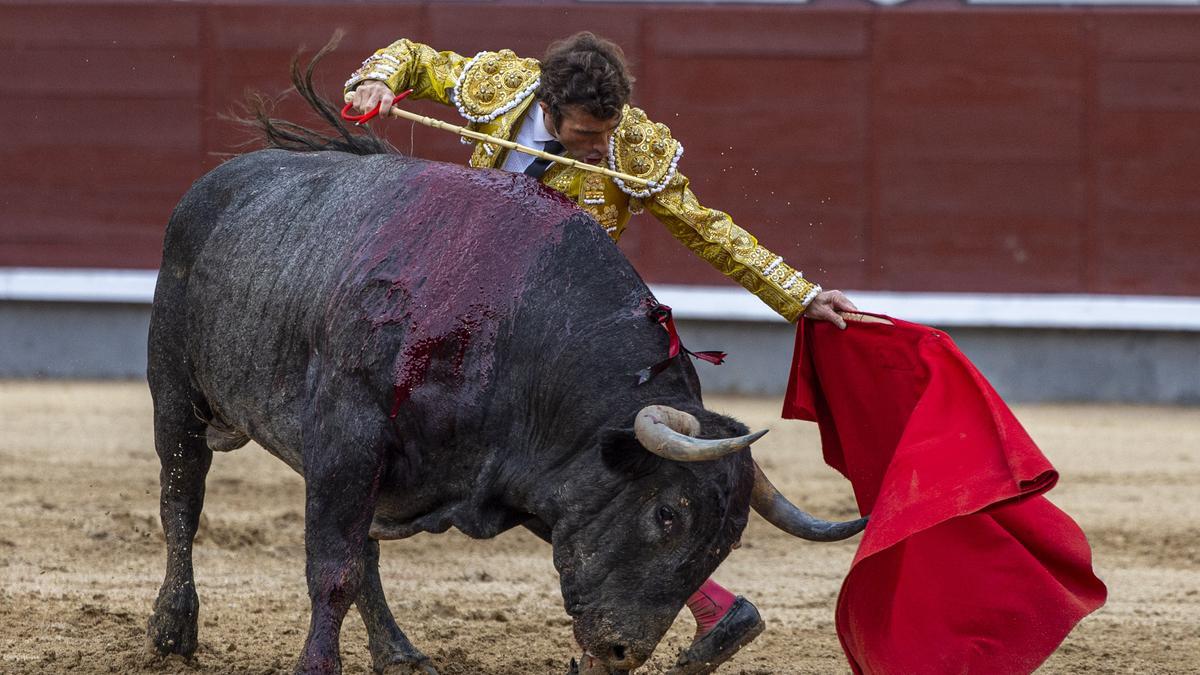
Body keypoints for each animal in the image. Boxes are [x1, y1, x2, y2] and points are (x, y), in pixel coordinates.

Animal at [147, 53, 864, 672]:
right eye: (668, 514)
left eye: (729, 540)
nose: (622, 651)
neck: (512, 324)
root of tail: (218, 183)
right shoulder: (347, 437)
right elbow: (333, 570)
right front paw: (315, 666)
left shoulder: (520, 474)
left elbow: (359, 558)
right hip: (175, 390)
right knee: (182, 498)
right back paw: (173, 629)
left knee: (362, 553)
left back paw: (399, 651)